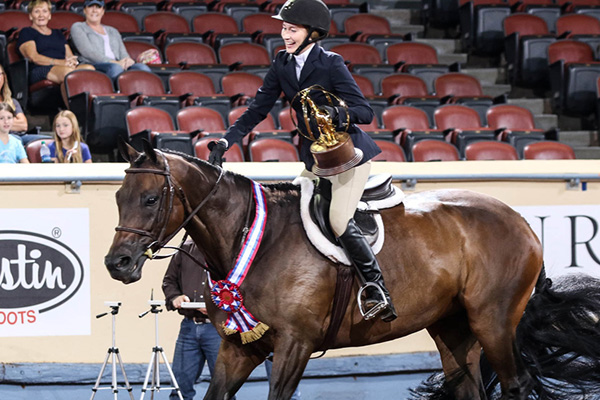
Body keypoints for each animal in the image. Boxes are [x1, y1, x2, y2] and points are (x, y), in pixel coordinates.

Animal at [104, 142, 600, 398]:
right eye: (118, 197)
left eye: (150, 198)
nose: (116, 263)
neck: (253, 239)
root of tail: (519, 220)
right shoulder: (237, 348)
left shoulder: (295, 345)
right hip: (453, 327)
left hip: (492, 320)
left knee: (516, 384)